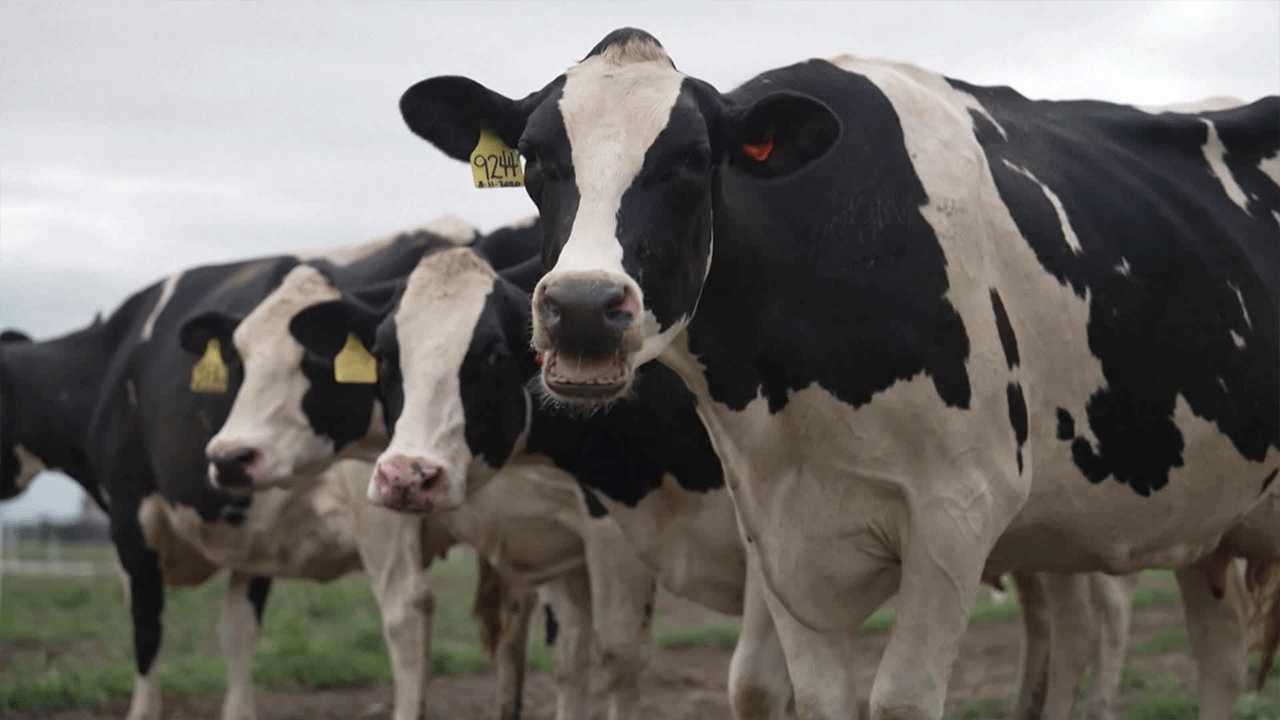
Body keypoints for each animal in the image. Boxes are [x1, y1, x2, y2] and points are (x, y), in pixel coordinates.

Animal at [0, 213, 540, 717]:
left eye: (317, 360)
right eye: (238, 360)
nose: (228, 457)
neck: (110, 363)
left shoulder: (132, 515)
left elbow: (146, 631)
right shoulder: (256, 542)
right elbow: (238, 633)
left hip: (387, 494)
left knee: (407, 611)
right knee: (517, 617)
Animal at [394, 28, 1274, 717]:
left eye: (692, 160)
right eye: (537, 158)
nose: (581, 306)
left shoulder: (960, 510)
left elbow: (900, 699)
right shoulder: (776, 528)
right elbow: (806, 694)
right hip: (1204, 525)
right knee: (1220, 660)